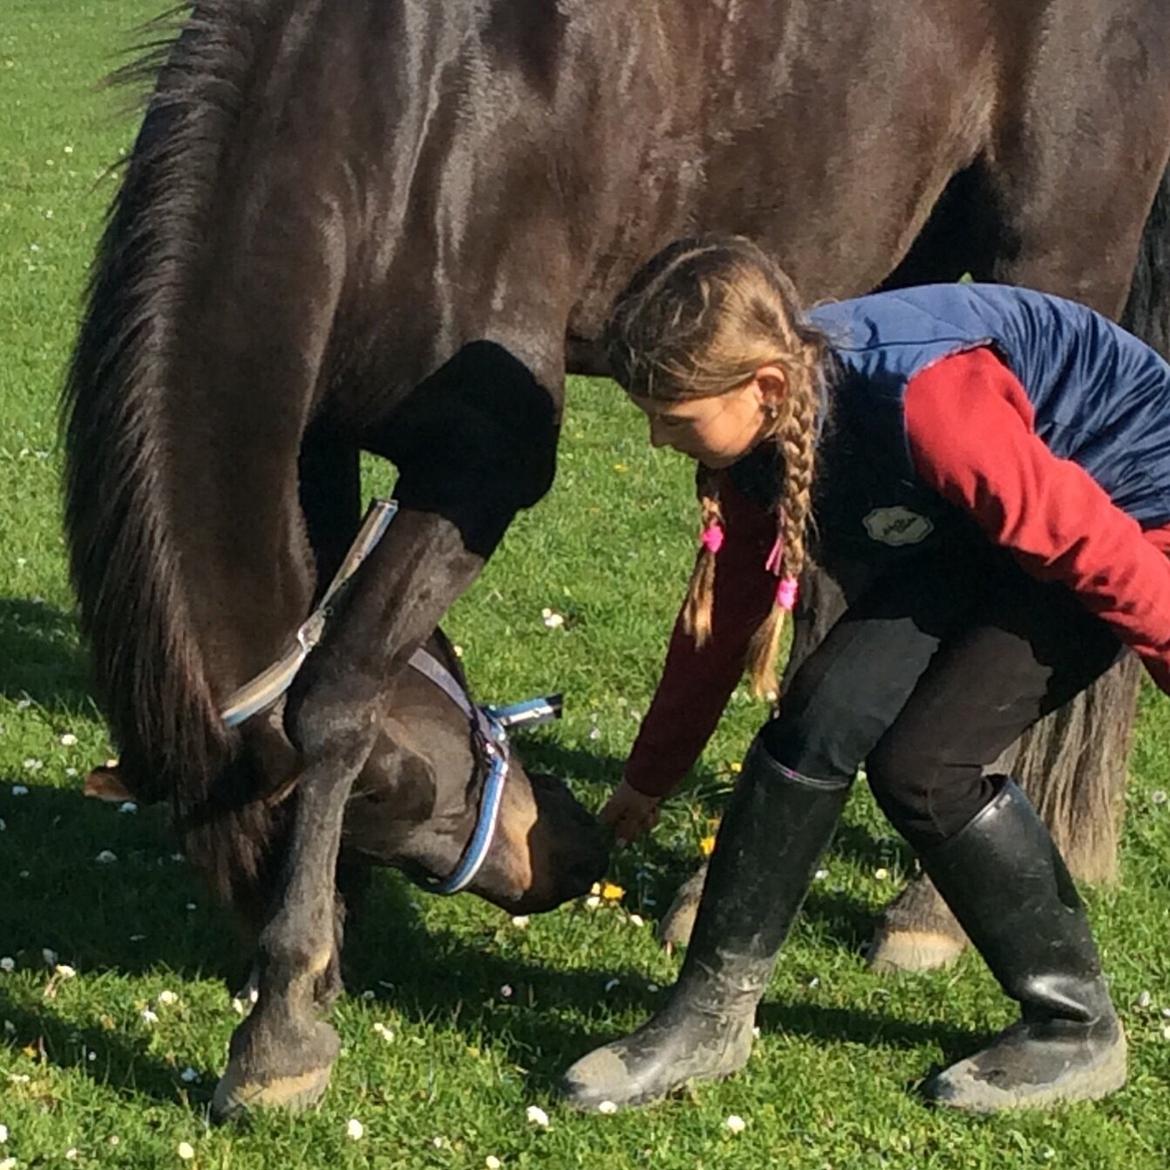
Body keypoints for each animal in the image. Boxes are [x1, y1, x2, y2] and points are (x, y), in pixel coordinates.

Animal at [64, 0, 1170, 1113]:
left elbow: (337, 694)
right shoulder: (322, 444)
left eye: (388, 788)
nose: (561, 858)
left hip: (1052, 255)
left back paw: (925, 916)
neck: (390, 115)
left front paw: (283, 1029)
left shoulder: (481, 469)